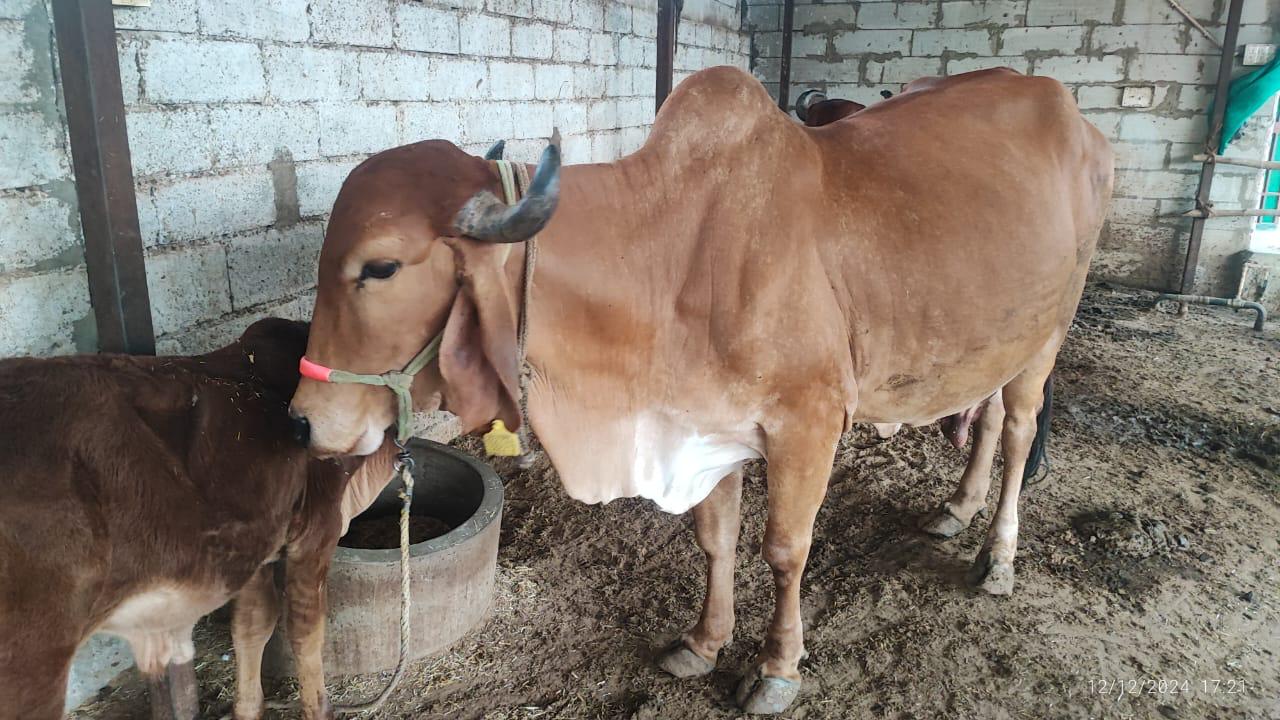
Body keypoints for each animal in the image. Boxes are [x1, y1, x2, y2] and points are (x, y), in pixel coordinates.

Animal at [0, 319, 395, 720]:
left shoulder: (256, 544)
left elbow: (252, 625)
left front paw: (247, 709)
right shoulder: (317, 528)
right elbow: (306, 630)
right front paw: (319, 708)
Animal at [288, 66, 1113, 714]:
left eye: (380, 267)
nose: (302, 421)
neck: (675, 252)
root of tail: (1075, 115)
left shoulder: (807, 424)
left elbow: (784, 549)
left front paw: (777, 670)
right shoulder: (704, 428)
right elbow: (715, 541)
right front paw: (704, 642)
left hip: (1050, 332)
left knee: (1019, 431)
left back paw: (999, 556)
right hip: (1001, 336)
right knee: (988, 415)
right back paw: (956, 508)